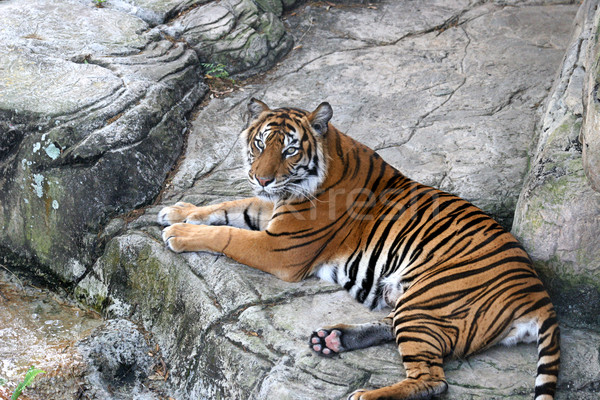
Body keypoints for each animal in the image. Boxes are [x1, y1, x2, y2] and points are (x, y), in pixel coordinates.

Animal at [157, 98, 560, 398]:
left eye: (289, 150)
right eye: (260, 144)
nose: (262, 178)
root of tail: (540, 295)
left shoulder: (281, 247)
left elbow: (228, 235)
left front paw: (177, 232)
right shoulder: (272, 211)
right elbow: (229, 207)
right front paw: (178, 210)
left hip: (430, 296)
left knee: (433, 381)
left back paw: (365, 393)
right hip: (416, 303)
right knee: (398, 332)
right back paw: (332, 339)